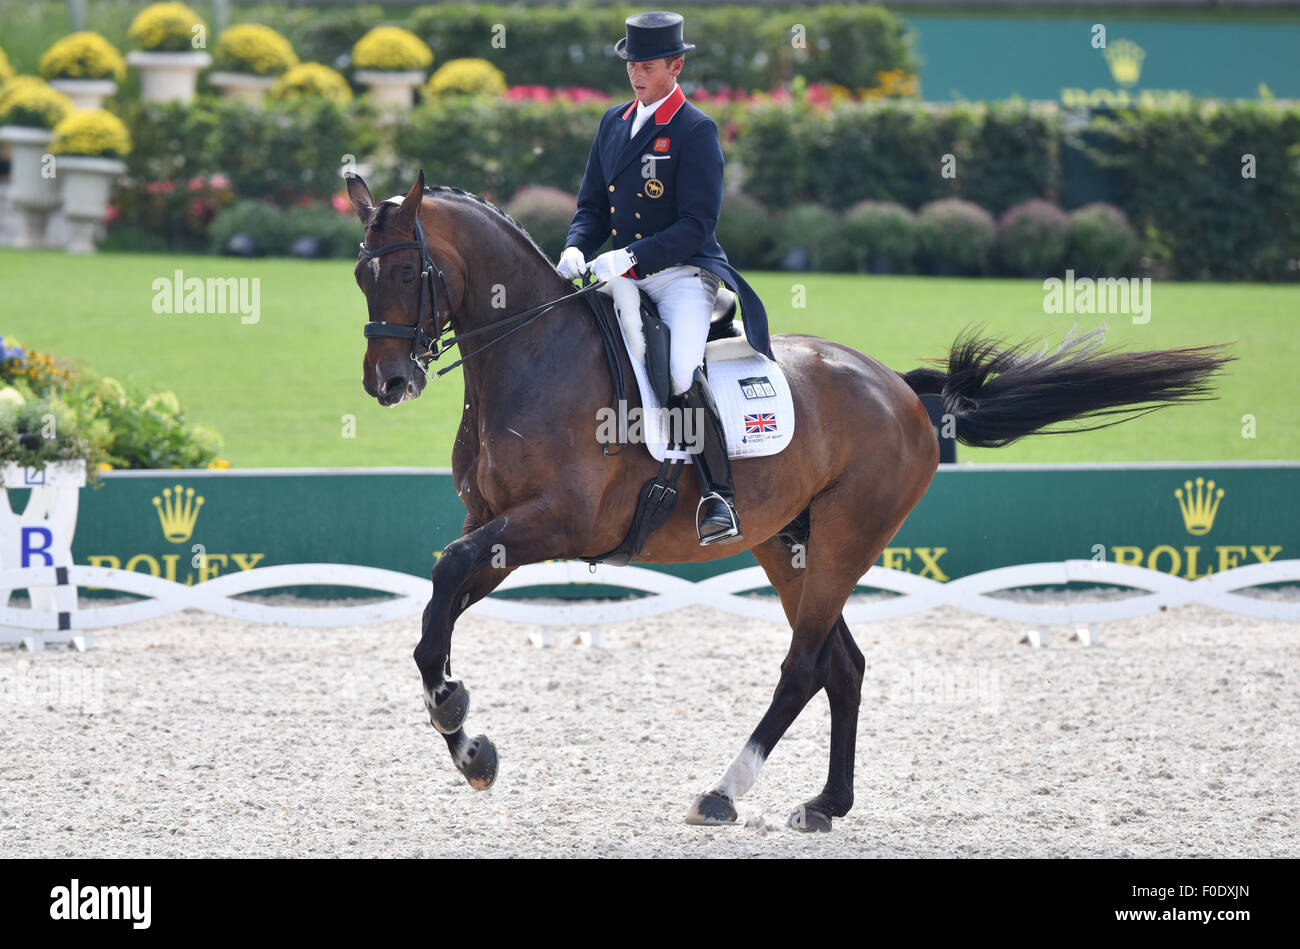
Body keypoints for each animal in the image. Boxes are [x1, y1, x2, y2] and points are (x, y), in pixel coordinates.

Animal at [345, 171, 1227, 826]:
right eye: (360, 273)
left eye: (407, 271)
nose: (388, 383)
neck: (531, 352)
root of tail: (898, 388)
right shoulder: (496, 527)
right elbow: (439, 602)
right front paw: (468, 742)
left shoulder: (553, 522)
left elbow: (446, 577)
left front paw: (457, 718)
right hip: (787, 541)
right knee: (845, 663)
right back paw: (827, 803)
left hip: (843, 536)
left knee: (805, 665)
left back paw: (722, 792)